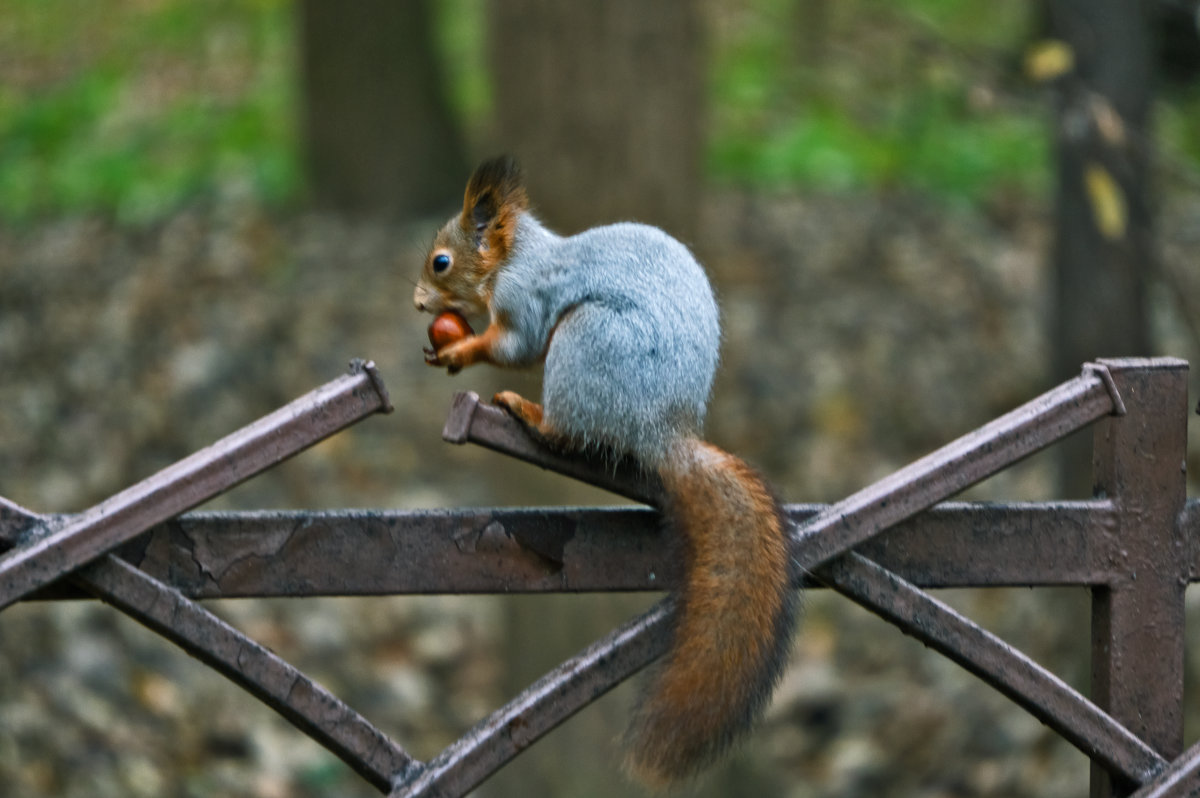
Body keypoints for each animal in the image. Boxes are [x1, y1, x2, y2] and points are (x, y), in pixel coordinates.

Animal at [412, 156, 796, 782]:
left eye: (442, 261)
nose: (419, 302)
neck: (517, 256)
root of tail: (659, 428)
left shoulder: (526, 295)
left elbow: (516, 345)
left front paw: (460, 349)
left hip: (587, 341)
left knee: (568, 430)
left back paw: (529, 414)